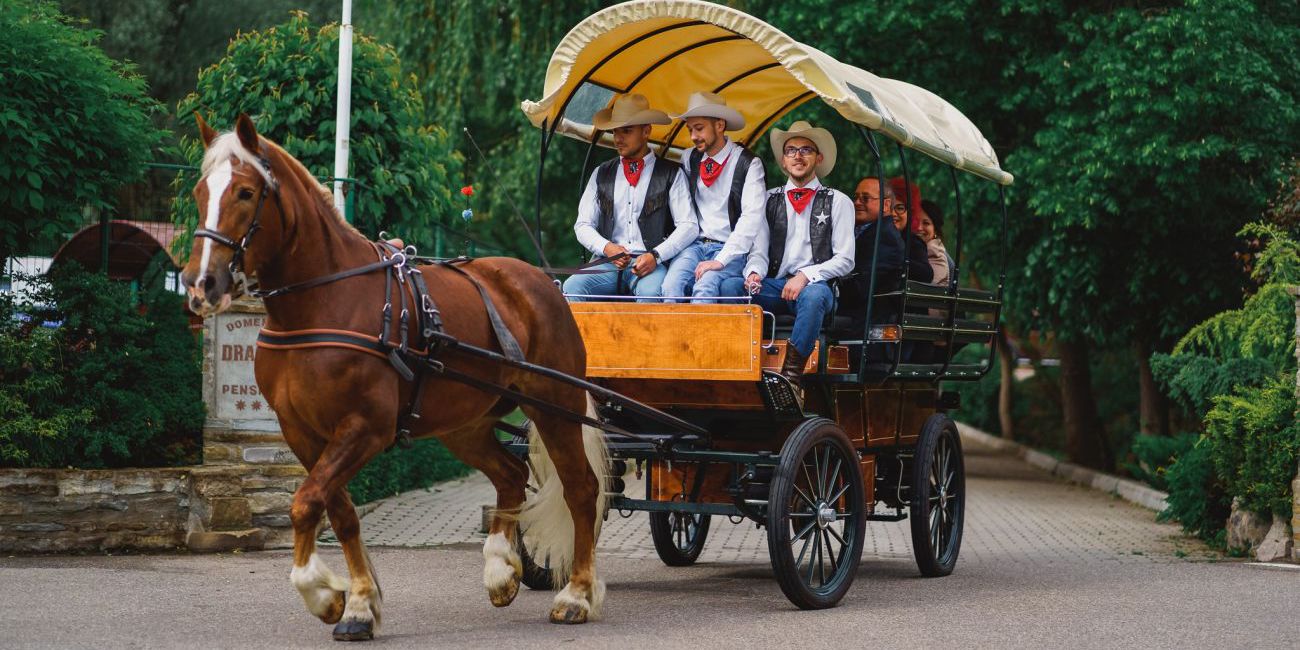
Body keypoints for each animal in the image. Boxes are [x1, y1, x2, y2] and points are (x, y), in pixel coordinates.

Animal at [179, 114, 608, 642]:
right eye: (200, 190)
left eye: (243, 192)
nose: (200, 284)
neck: (324, 302)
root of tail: (543, 282)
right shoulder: (302, 432)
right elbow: (337, 511)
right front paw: (354, 602)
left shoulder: (366, 428)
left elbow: (306, 502)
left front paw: (326, 594)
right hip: (464, 424)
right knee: (511, 475)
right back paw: (500, 571)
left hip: (556, 405)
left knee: (581, 490)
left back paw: (576, 595)